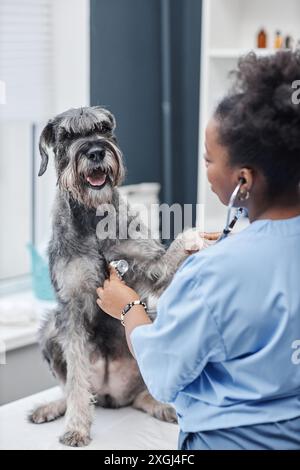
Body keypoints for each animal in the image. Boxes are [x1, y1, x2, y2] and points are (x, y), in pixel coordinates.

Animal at [29, 106, 191, 448]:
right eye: (67, 135)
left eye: (104, 128)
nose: (95, 151)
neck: (93, 219)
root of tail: (110, 394)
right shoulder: (71, 306)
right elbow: (76, 377)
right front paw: (77, 427)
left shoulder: (150, 270)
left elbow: (169, 258)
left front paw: (195, 239)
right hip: (50, 330)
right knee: (72, 388)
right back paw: (54, 407)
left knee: (142, 394)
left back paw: (161, 405)